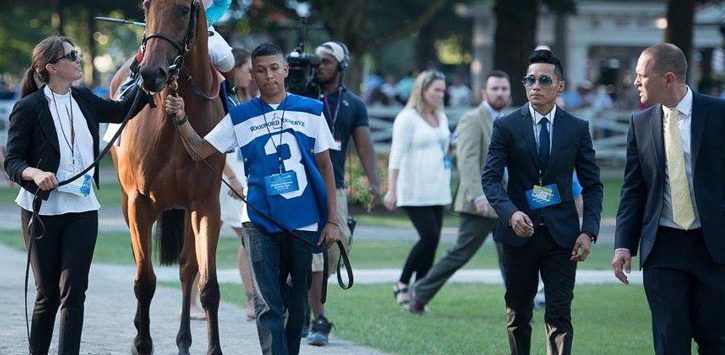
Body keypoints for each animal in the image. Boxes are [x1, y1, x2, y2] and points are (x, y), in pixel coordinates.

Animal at [108, 1, 223, 354]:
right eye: (146, 7)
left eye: (185, 9)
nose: (151, 73)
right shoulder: (139, 204)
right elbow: (144, 281)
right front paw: (142, 342)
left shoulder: (206, 205)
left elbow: (207, 285)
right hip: (127, 204)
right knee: (140, 264)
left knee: (187, 268)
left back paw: (184, 341)